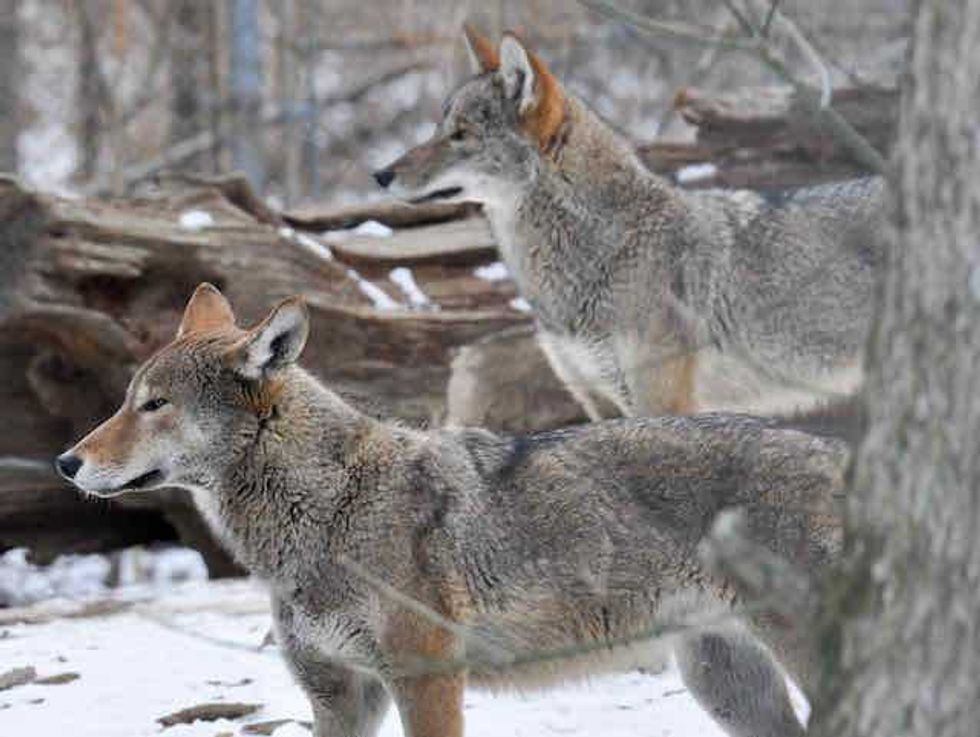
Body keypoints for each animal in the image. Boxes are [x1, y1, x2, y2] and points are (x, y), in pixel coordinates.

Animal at [58, 283, 846, 737]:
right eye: (127, 399)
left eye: (154, 405)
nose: (66, 461)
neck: (328, 508)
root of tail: (838, 453)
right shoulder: (340, 696)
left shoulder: (427, 680)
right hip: (727, 686)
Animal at [376, 26, 884, 421]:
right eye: (439, 128)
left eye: (460, 134)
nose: (379, 174)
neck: (608, 247)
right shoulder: (601, 404)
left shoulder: (662, 405)